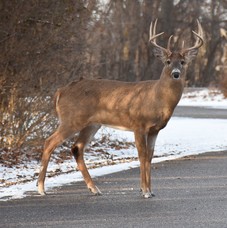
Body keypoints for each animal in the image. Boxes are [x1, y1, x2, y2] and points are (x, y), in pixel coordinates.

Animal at [37, 19, 204, 198]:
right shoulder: (138, 125)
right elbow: (142, 155)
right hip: (71, 119)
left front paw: (150, 190)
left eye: (183, 62)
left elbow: (150, 156)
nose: (176, 74)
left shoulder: (155, 130)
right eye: (167, 62)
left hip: (92, 124)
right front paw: (145, 191)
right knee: (49, 142)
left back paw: (94, 188)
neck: (157, 98)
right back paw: (41, 188)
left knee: (77, 147)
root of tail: (61, 91)